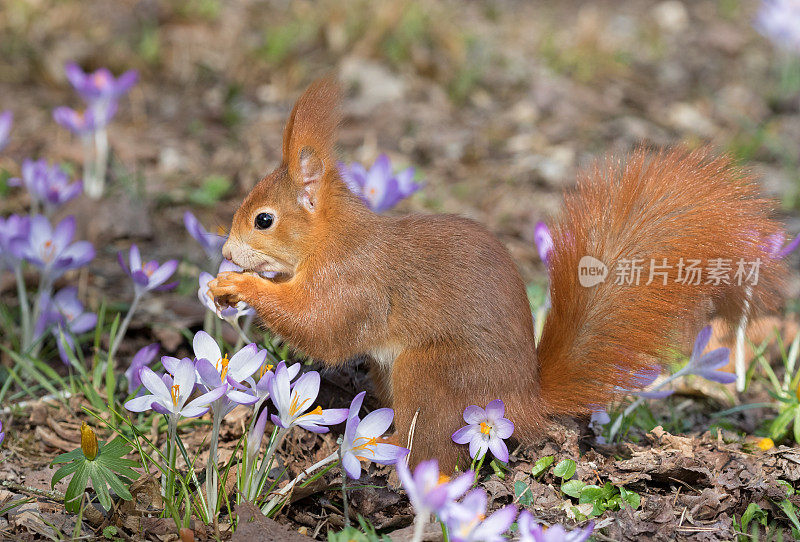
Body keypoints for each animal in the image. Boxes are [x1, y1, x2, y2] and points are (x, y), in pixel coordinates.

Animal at [208, 77, 788, 472]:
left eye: (264, 220)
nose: (228, 250)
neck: (332, 239)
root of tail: (525, 400)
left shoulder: (353, 284)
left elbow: (322, 329)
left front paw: (240, 285)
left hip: (434, 374)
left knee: (433, 449)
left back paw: (386, 453)